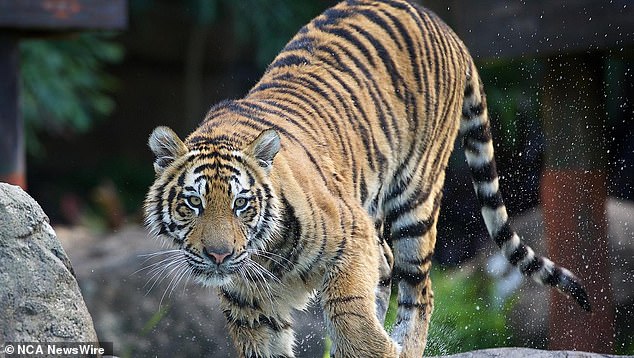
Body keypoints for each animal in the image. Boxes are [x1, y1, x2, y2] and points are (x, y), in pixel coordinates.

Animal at [142, 1, 588, 356]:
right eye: (193, 202)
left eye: (241, 204)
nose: (218, 256)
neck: (265, 256)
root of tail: (441, 23)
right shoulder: (249, 305)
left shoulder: (350, 239)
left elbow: (350, 313)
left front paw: (377, 347)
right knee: (390, 266)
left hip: (415, 199)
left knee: (420, 291)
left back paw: (406, 345)